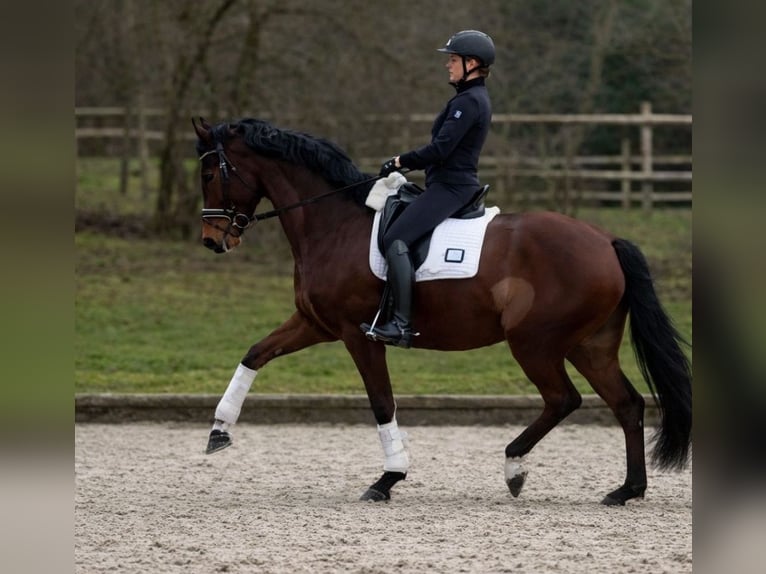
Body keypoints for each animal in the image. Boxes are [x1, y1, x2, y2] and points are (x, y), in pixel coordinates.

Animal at [192, 117, 692, 505]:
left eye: (210, 174)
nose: (212, 241)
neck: (334, 224)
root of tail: (606, 241)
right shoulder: (315, 324)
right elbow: (255, 353)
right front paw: (219, 430)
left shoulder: (359, 335)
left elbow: (381, 401)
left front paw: (388, 478)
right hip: (590, 345)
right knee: (626, 403)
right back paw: (627, 490)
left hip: (535, 342)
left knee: (563, 399)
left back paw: (514, 467)